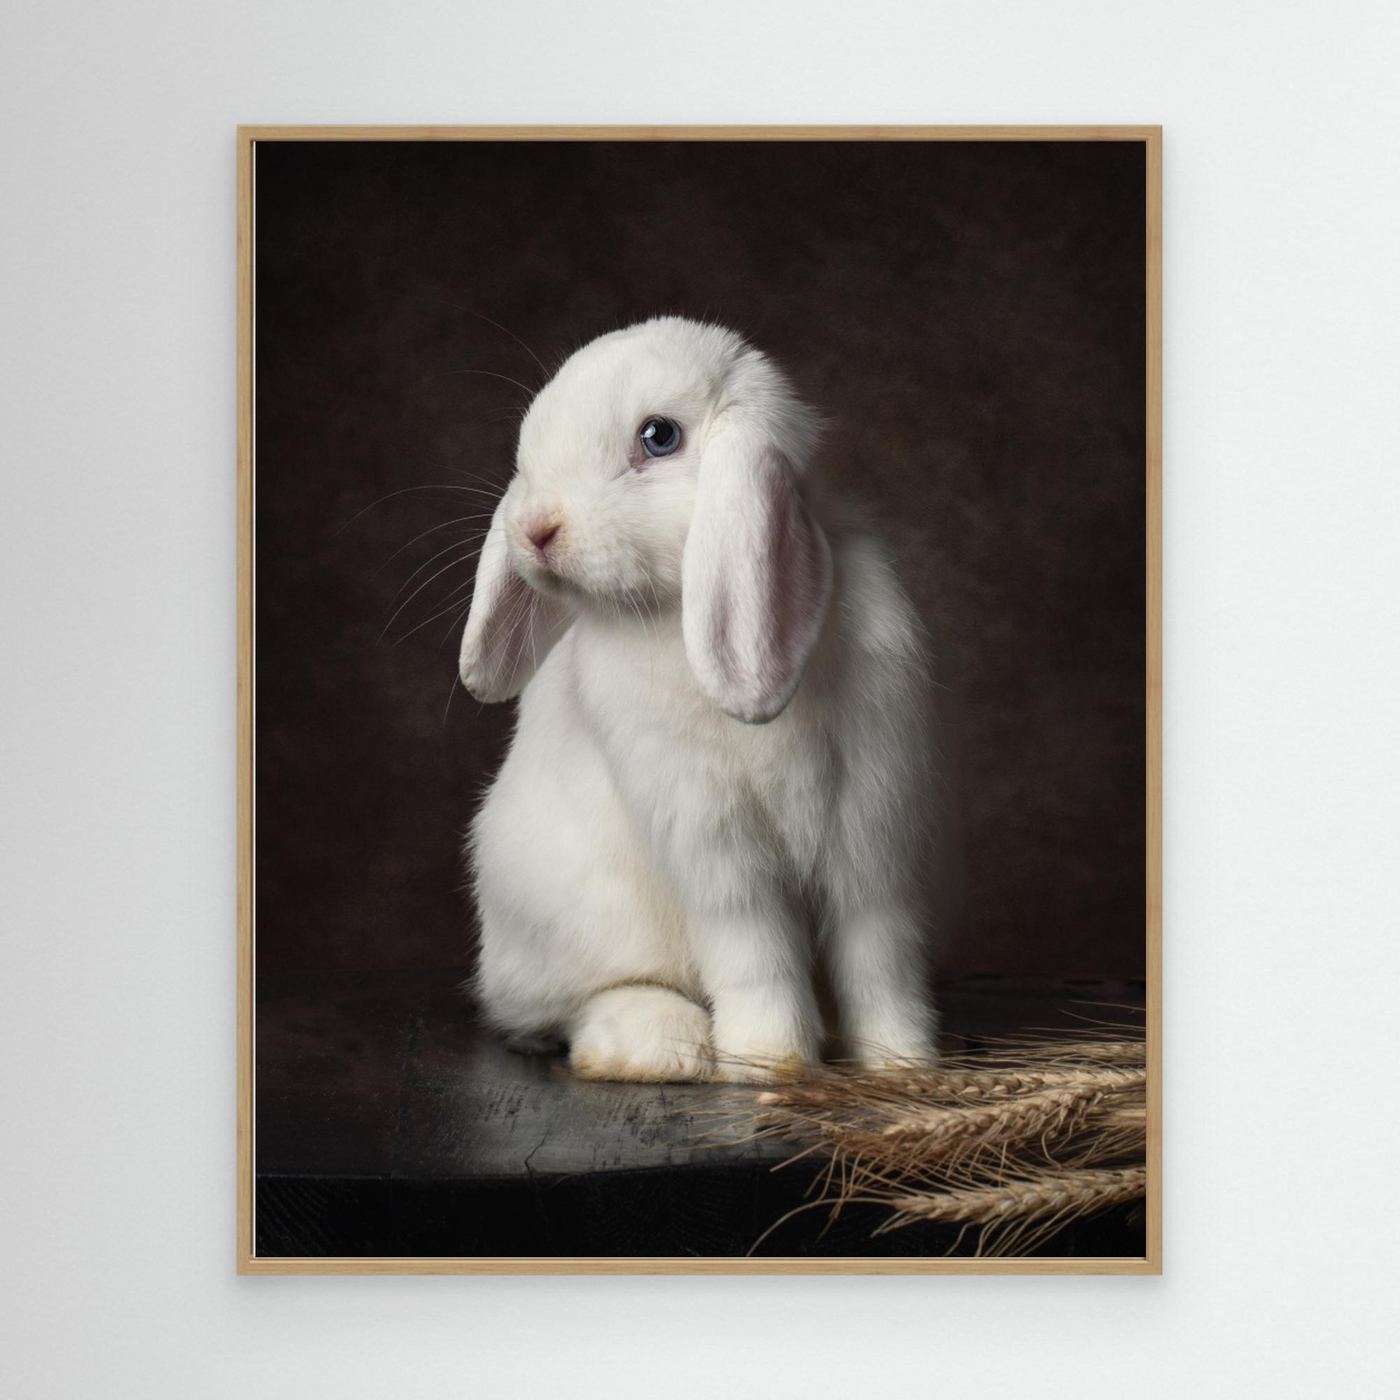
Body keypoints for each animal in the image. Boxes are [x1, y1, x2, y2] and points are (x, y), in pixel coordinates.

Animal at [458, 316, 939, 1083]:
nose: (535, 529)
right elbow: (755, 951)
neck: (672, 607)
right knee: (570, 1007)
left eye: (659, 437)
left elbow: (878, 954)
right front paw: (771, 1064)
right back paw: (660, 1047)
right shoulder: (714, 844)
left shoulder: (869, 831)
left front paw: (901, 1064)